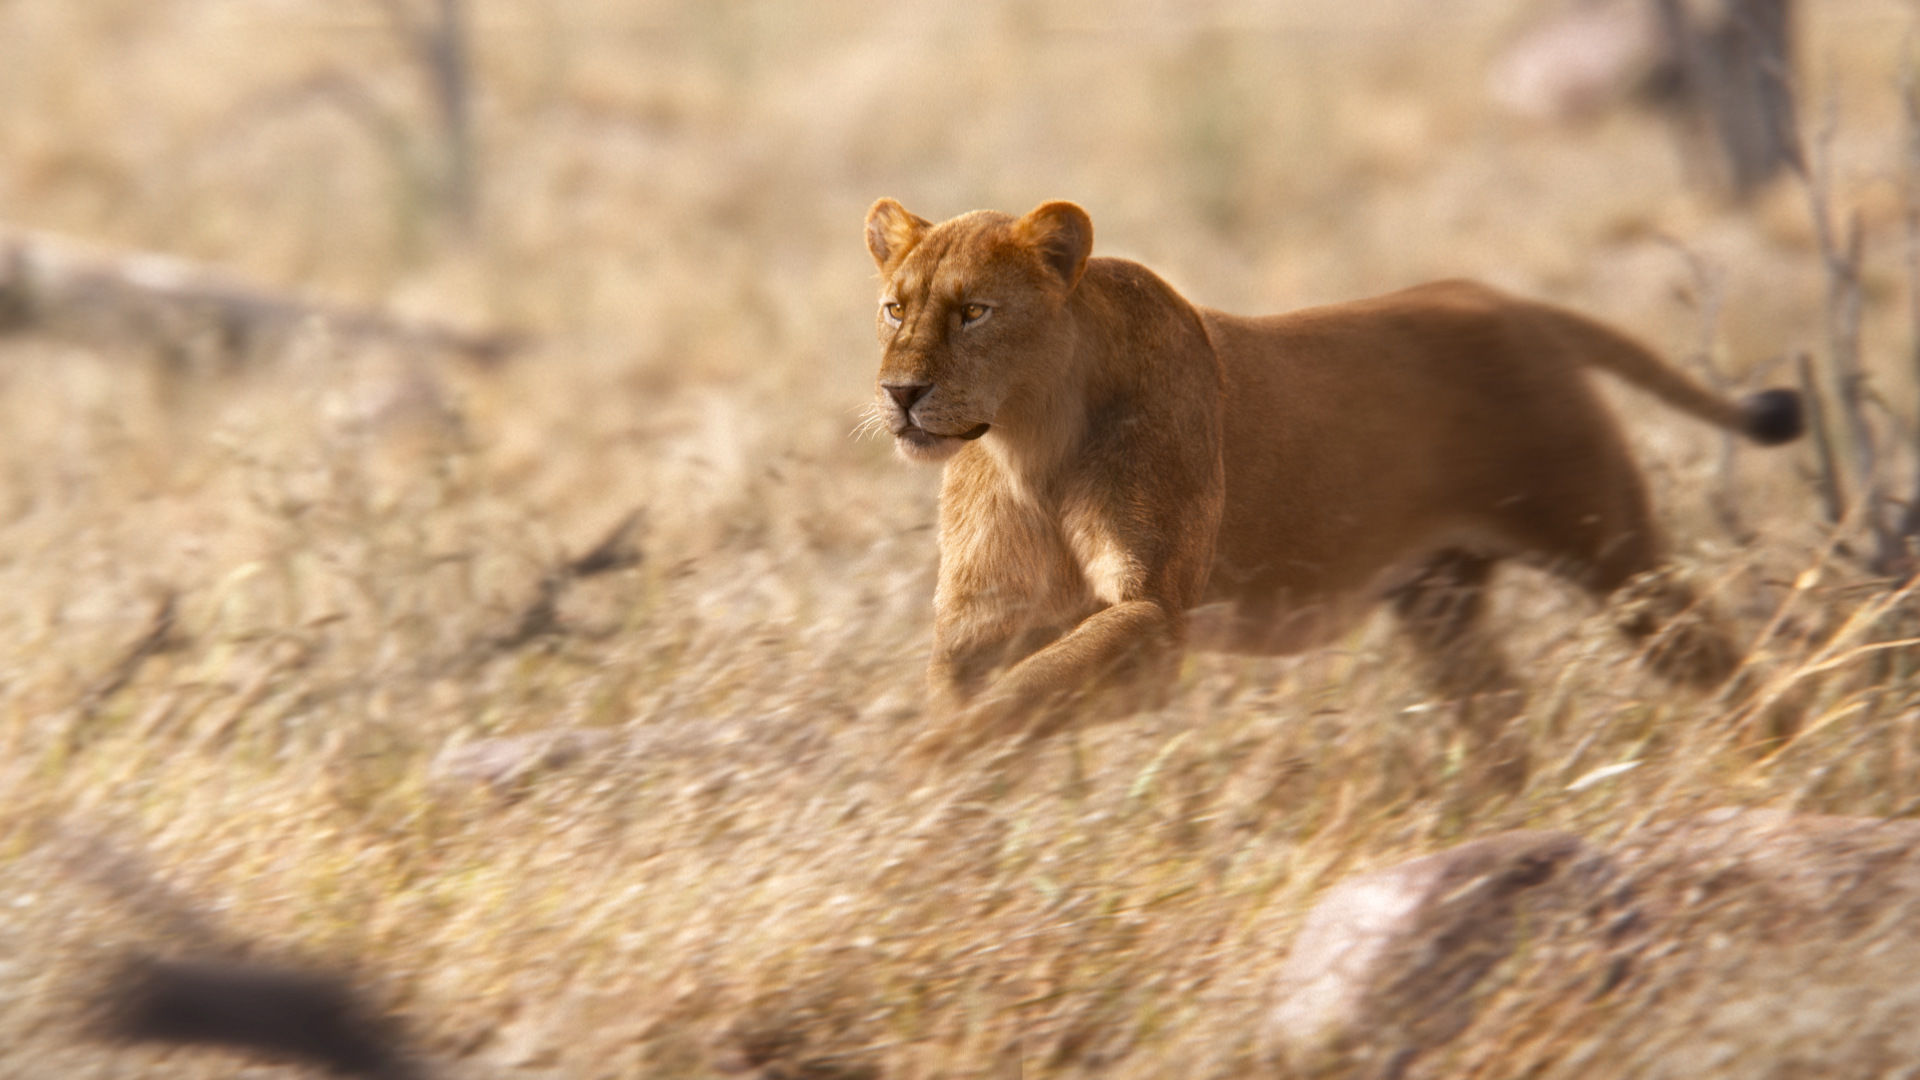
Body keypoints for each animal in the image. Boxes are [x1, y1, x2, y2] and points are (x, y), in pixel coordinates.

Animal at [864, 198, 1803, 763]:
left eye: (975, 312)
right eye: (894, 308)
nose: (900, 395)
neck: (1030, 446)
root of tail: (1504, 300)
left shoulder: (1156, 619)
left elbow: (1025, 693)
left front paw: (926, 771)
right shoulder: (981, 623)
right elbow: (984, 693)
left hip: (1609, 551)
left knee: (1730, 669)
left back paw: (1782, 768)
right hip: (1442, 603)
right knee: (1504, 727)